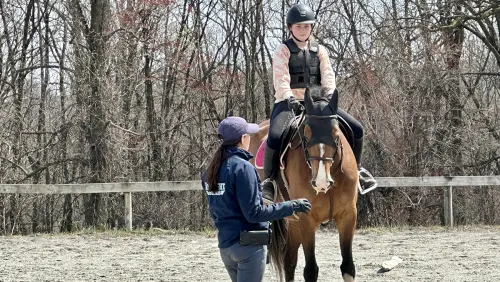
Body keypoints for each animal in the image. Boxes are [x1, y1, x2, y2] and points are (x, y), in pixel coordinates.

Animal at [248, 86, 358, 282]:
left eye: (336, 134)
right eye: (306, 134)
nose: (321, 182)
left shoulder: (348, 216)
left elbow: (348, 266)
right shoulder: (307, 219)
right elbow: (311, 270)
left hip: (292, 220)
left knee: (289, 259)